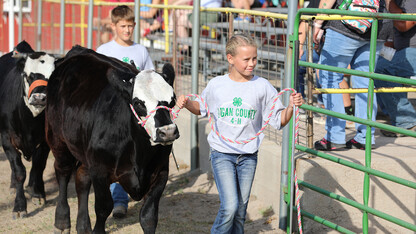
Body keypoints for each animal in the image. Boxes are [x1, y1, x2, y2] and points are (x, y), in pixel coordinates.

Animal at [0, 40, 56, 219]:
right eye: (27, 75)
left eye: (51, 76)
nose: (39, 98)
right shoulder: (7, 139)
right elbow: (18, 171)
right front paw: (19, 206)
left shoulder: (45, 141)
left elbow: (38, 166)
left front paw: (38, 194)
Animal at [46, 46, 180, 234]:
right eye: (138, 103)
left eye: (172, 100)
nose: (167, 132)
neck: (139, 154)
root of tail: (77, 52)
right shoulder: (100, 171)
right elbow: (103, 208)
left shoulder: (161, 172)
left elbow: (148, 216)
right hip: (57, 139)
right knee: (63, 173)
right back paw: (62, 222)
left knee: (81, 179)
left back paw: (83, 226)